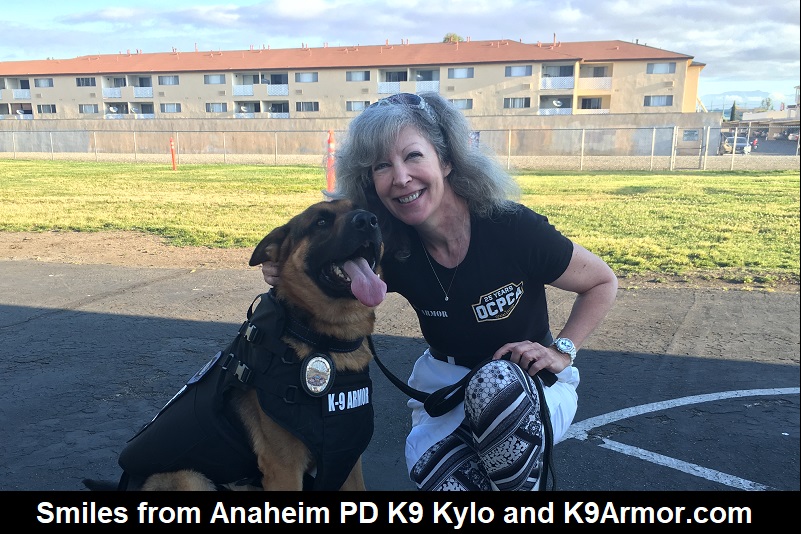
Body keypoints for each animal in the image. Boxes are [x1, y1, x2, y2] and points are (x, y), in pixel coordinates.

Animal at [83, 201, 384, 494]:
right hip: (191, 478)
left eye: (359, 208)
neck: (320, 336)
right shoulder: (284, 470)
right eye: (321, 221)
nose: (369, 220)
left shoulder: (347, 461)